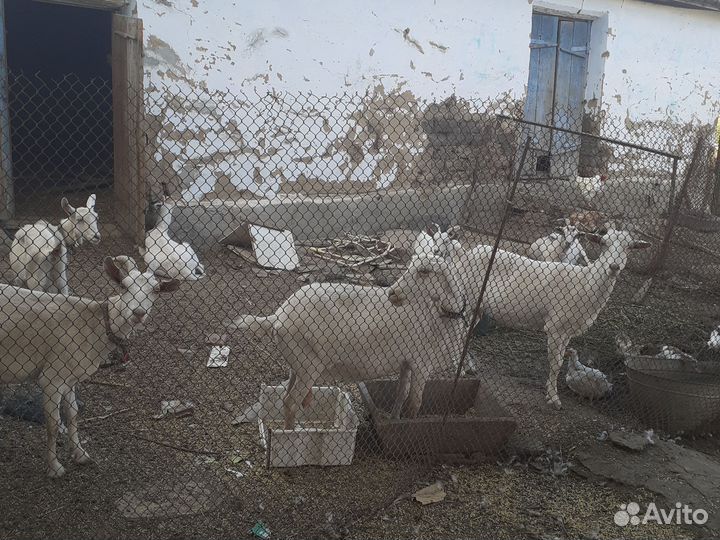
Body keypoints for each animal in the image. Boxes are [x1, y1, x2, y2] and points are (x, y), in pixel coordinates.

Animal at [0, 256, 179, 477]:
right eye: (124, 286)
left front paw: (80, 454)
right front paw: (54, 467)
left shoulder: (69, 376)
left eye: (156, 290)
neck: (96, 325)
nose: (138, 313)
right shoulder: (51, 377)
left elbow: (73, 413)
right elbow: (53, 424)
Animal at [227, 254, 467, 428]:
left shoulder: (406, 362)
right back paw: (290, 436)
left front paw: (393, 419)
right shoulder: (422, 364)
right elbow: (414, 404)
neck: (437, 315)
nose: (392, 293)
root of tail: (278, 316)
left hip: (296, 363)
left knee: (287, 395)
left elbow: (400, 394)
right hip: (309, 365)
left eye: (424, 271)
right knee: (291, 402)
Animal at [450, 228, 650, 409]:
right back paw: (457, 367)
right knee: (458, 330)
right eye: (603, 243)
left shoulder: (568, 331)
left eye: (629, 247)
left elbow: (560, 360)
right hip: (469, 298)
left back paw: (466, 365)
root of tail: (470, 252)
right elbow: (555, 363)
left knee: (465, 333)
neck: (586, 283)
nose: (614, 267)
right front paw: (554, 398)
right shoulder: (556, 327)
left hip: (478, 306)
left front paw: (550, 391)